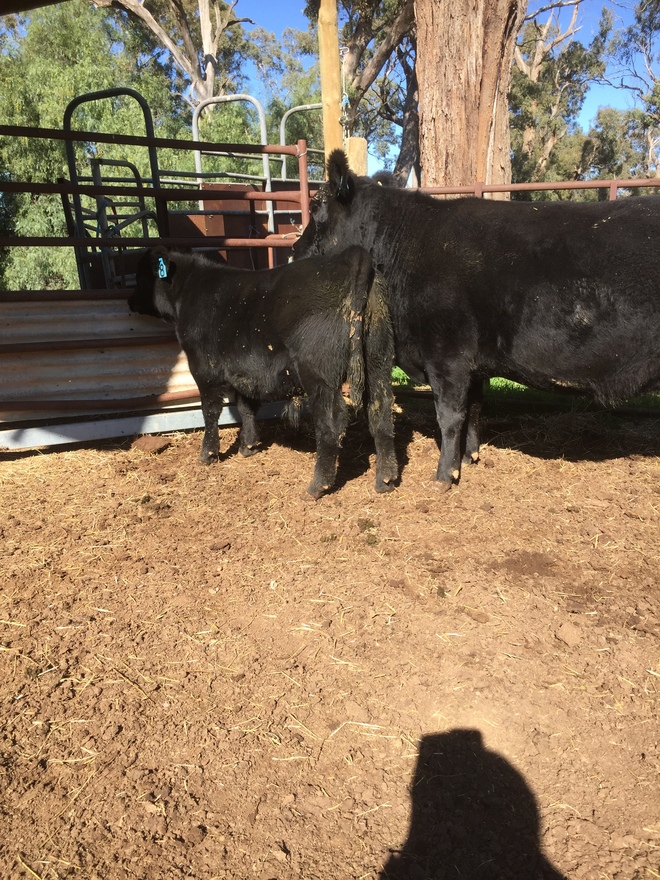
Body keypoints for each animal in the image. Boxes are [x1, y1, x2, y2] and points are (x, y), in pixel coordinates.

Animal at [128, 245, 398, 498]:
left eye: (140, 276)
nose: (129, 302)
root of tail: (348, 256)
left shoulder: (203, 369)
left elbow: (210, 411)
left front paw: (208, 454)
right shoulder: (243, 371)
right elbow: (246, 407)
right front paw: (248, 446)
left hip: (320, 375)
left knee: (331, 423)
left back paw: (317, 486)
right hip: (378, 362)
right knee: (381, 412)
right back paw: (385, 480)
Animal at [293, 149, 660, 489]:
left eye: (317, 206)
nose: (295, 252)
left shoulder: (447, 355)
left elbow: (450, 415)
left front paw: (444, 476)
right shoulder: (473, 364)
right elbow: (475, 408)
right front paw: (469, 457)